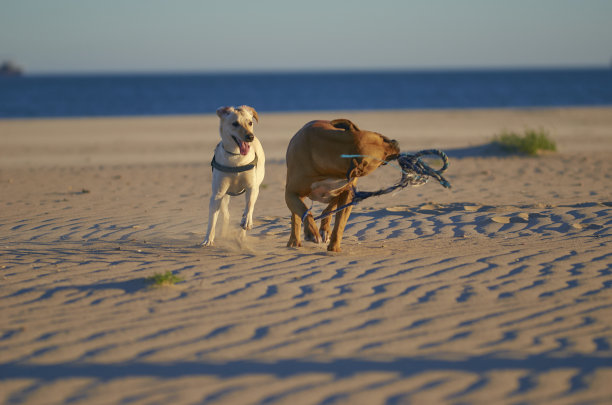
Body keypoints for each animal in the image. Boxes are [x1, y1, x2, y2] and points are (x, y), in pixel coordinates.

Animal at [203, 105, 266, 245]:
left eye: (250, 122)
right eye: (235, 123)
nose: (250, 137)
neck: (236, 157)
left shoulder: (252, 187)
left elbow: (249, 205)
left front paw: (246, 221)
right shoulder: (217, 193)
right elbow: (212, 219)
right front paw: (208, 239)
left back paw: (242, 233)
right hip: (224, 196)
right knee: (226, 215)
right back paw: (224, 233)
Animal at [286, 118, 402, 251]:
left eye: (383, 138)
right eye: (383, 156)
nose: (397, 143)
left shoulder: (348, 194)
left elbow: (340, 224)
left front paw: (334, 248)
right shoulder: (291, 194)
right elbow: (303, 210)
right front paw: (311, 232)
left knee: (329, 209)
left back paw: (325, 230)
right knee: (296, 216)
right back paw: (294, 240)